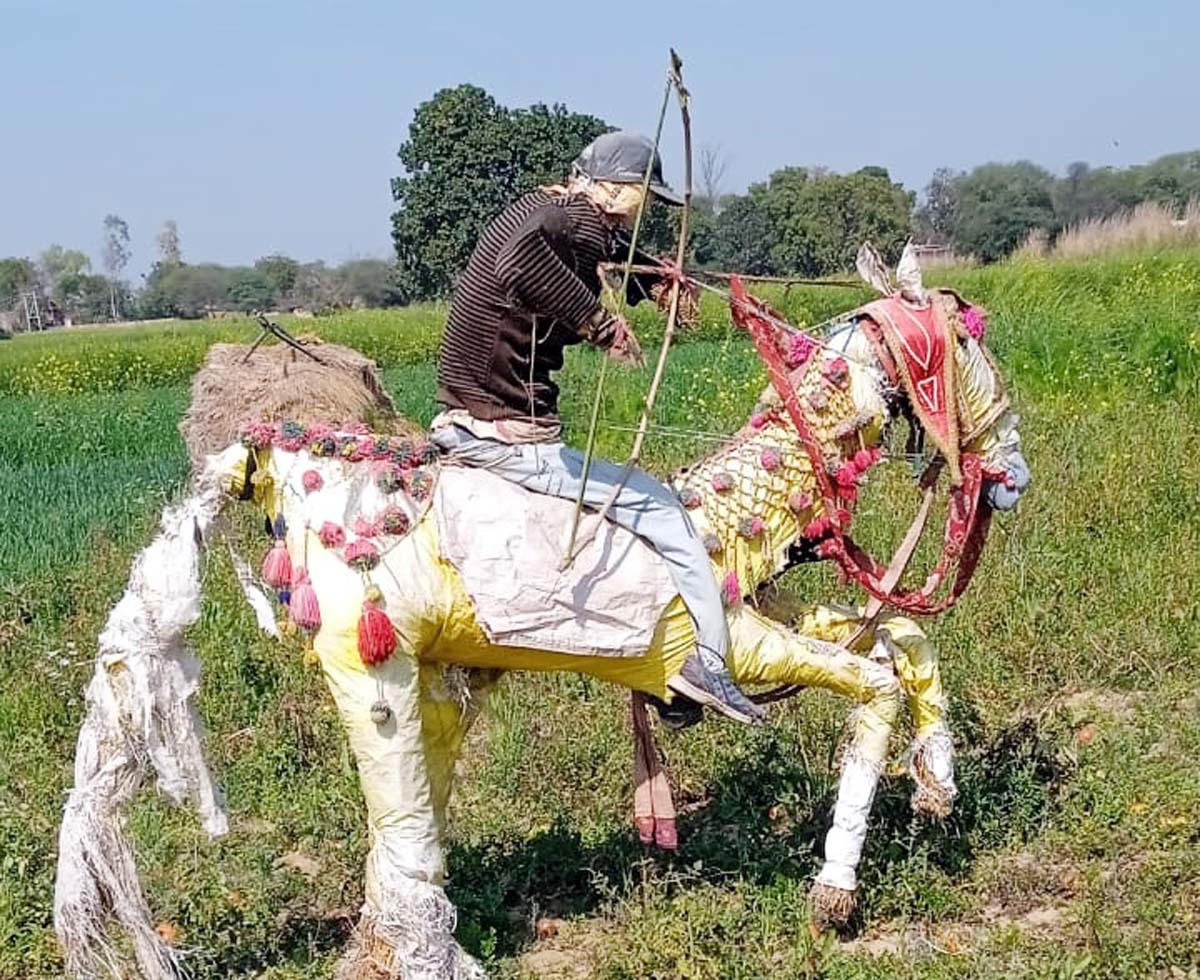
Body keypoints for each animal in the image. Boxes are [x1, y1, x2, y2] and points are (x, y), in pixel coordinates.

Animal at [54, 254, 1032, 978]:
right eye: (970, 347)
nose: (1010, 470)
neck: (730, 524)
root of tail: (270, 461)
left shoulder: (769, 613)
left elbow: (904, 640)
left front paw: (939, 788)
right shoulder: (723, 655)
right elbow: (875, 683)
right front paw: (834, 892)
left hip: (425, 680)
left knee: (412, 816)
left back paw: (380, 947)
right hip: (372, 669)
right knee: (402, 822)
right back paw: (424, 955)